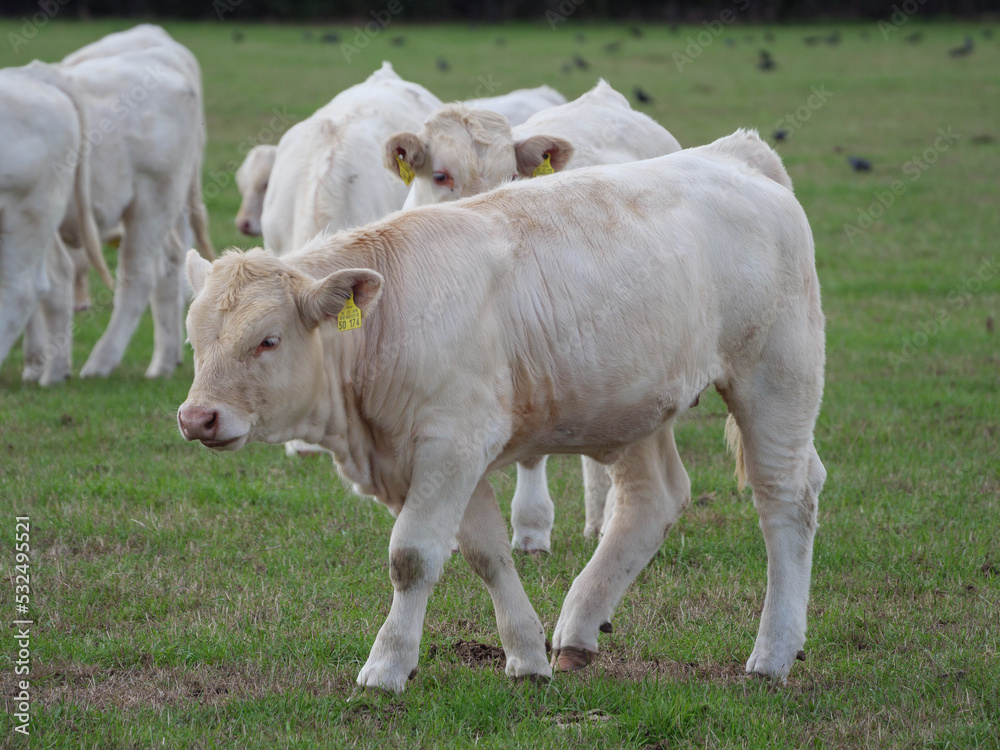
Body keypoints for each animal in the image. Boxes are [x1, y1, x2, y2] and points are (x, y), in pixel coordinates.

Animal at [180, 132, 828, 696]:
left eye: (267, 340)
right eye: (194, 340)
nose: (197, 418)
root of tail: (736, 153)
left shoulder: (452, 444)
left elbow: (412, 556)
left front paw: (387, 666)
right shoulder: (440, 461)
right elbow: (485, 553)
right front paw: (525, 654)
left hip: (776, 377)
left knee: (786, 499)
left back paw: (772, 654)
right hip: (633, 405)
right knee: (653, 501)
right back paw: (578, 632)